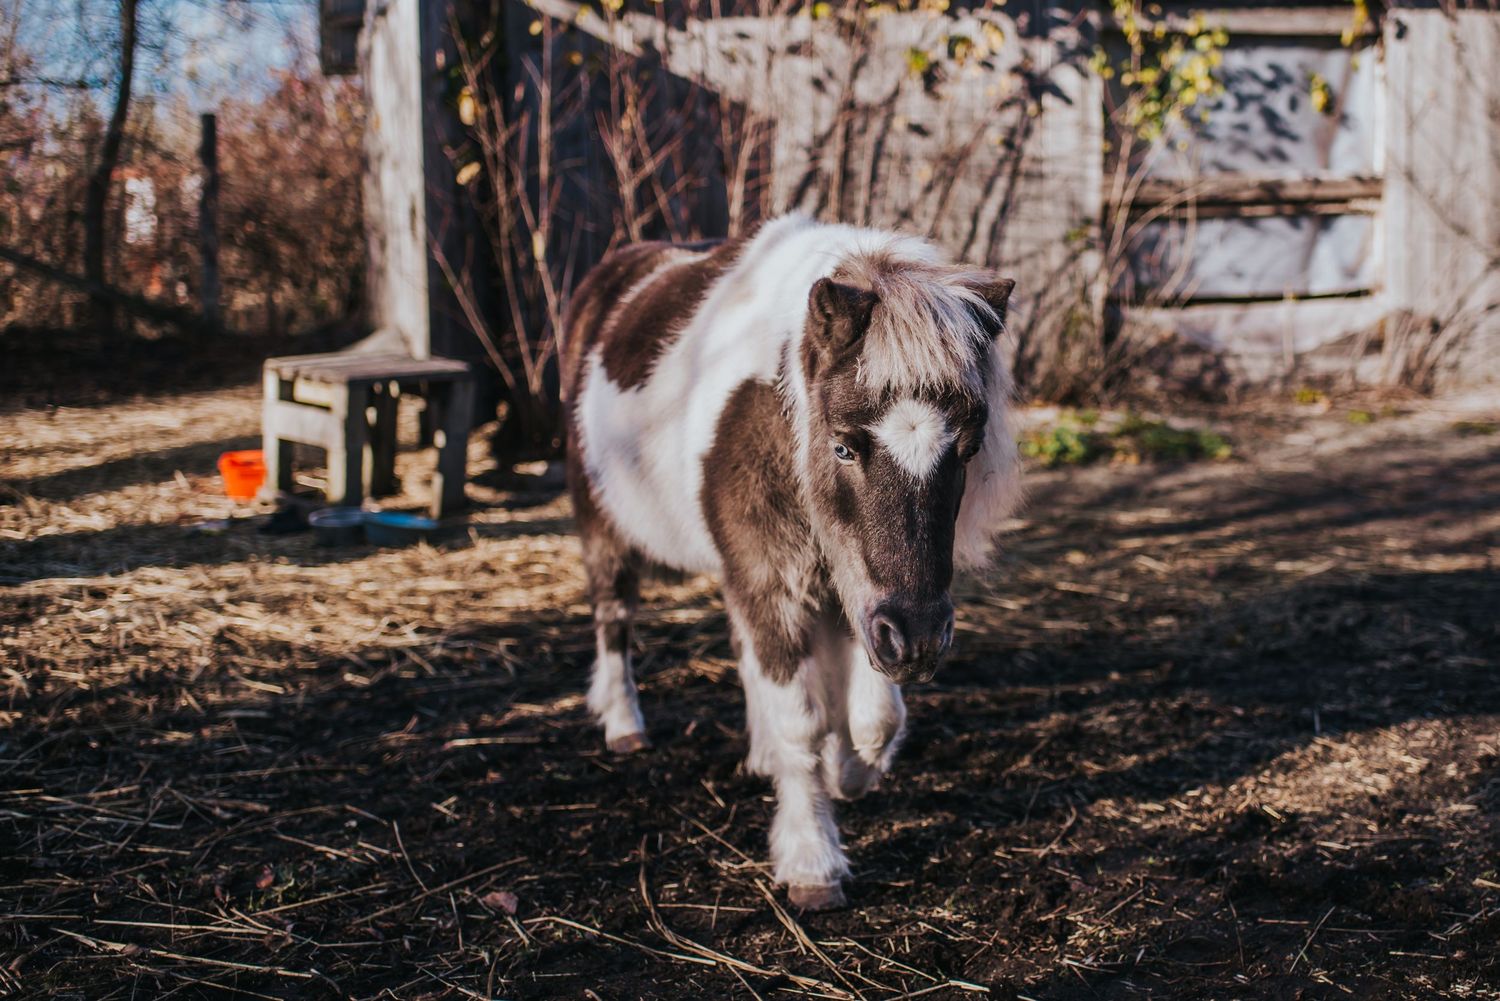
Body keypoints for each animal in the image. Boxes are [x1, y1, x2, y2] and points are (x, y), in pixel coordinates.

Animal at [560, 214, 1022, 909]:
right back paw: (623, 724)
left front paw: (849, 771)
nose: (919, 641)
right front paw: (812, 861)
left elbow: (873, 717)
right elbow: (803, 721)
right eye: (843, 446)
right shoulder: (780, 582)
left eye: (967, 450)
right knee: (614, 619)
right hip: (602, 525)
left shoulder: (855, 596)